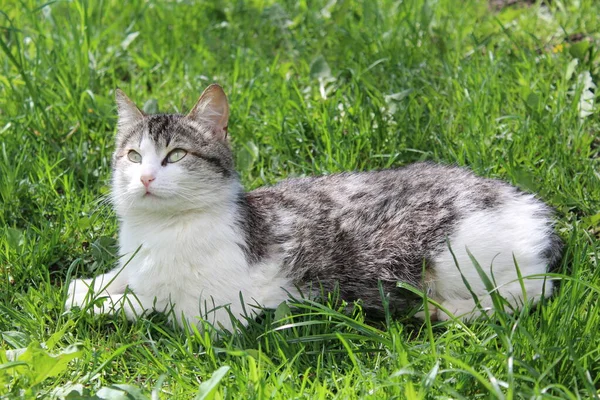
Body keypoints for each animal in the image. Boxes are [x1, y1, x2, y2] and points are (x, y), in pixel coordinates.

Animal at [65, 84, 564, 332]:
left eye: (176, 156)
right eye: (133, 157)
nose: (146, 178)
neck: (159, 231)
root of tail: (534, 208)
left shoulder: (214, 312)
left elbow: (149, 306)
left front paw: (105, 304)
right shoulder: (137, 264)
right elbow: (115, 278)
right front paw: (90, 288)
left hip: (454, 258)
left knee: (530, 293)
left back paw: (443, 313)